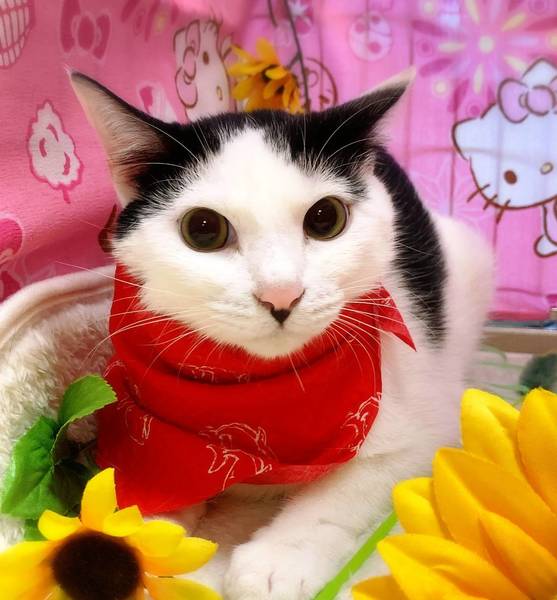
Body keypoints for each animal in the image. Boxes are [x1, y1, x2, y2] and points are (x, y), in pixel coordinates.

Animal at [71, 70, 493, 600]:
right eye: (203, 229)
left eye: (326, 218)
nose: (281, 294)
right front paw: (135, 540)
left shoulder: (426, 420)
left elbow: (350, 486)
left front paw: (276, 561)